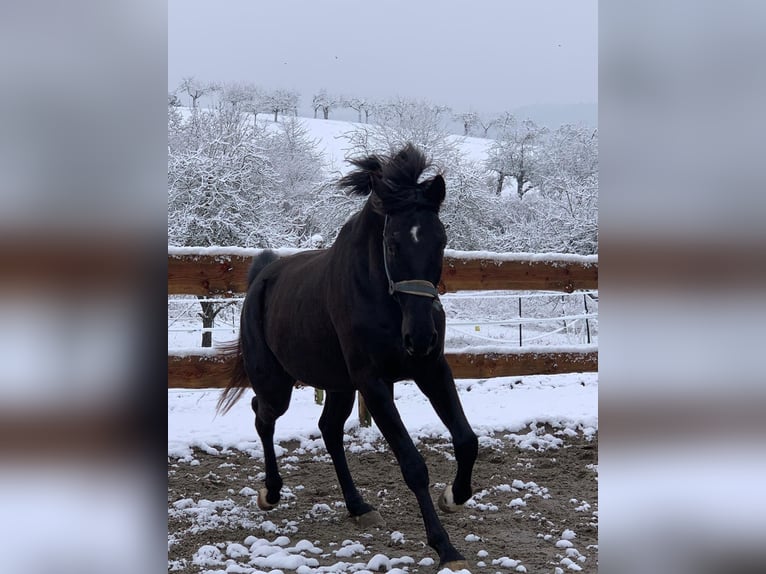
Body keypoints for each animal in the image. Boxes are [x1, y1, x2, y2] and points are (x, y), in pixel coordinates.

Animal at [216, 143, 478, 569]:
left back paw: (358, 507)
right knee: (262, 415)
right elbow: (413, 465)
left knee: (328, 428)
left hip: (337, 384)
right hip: (276, 383)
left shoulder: (431, 368)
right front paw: (445, 547)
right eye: (392, 243)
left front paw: (454, 497)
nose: (420, 336)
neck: (385, 302)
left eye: (440, 240)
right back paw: (270, 492)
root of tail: (261, 278)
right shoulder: (374, 384)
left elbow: (467, 440)